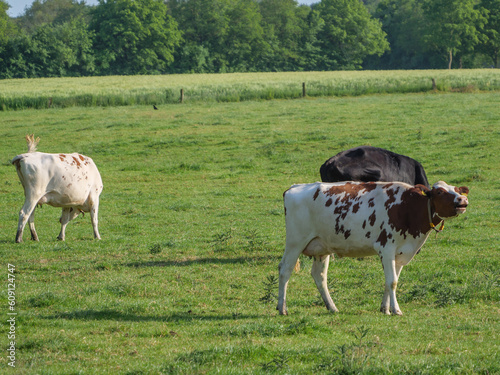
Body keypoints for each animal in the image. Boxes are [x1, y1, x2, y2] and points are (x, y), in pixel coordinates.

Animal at [278, 181, 468, 316]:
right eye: (439, 192)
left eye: (457, 190)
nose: (463, 200)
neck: (407, 207)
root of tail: (294, 187)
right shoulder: (386, 248)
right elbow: (392, 282)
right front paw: (396, 310)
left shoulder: (400, 254)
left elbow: (390, 281)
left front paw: (385, 308)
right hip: (295, 242)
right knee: (285, 270)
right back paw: (282, 308)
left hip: (321, 247)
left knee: (320, 276)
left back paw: (332, 307)